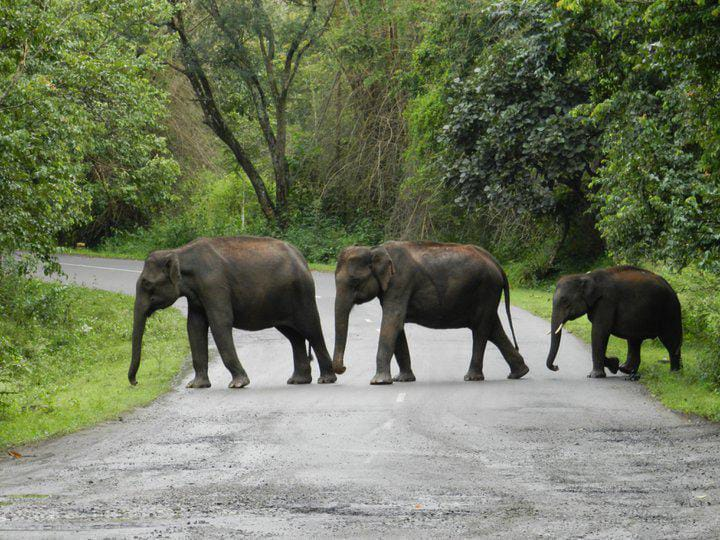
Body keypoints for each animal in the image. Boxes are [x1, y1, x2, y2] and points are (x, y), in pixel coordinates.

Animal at [130, 236, 344, 388]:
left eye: (147, 283)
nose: (135, 382)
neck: (179, 252)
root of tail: (302, 258)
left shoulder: (214, 285)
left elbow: (220, 323)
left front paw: (238, 384)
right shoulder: (197, 296)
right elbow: (194, 327)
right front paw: (196, 385)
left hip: (302, 294)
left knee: (311, 330)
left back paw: (326, 379)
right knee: (294, 336)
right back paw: (298, 380)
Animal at [334, 240, 528, 384]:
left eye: (355, 282)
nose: (343, 368)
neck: (375, 249)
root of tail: (497, 264)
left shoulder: (400, 282)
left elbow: (392, 321)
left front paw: (379, 382)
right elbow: (397, 325)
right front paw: (403, 379)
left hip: (486, 290)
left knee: (481, 330)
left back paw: (472, 377)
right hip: (488, 295)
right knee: (493, 329)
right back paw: (519, 373)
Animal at [544, 266, 680, 380]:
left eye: (565, 300)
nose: (556, 367)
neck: (586, 276)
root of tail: (671, 288)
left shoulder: (606, 302)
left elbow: (599, 332)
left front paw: (595, 375)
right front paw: (614, 364)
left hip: (669, 310)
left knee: (670, 340)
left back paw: (674, 374)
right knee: (634, 340)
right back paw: (626, 369)